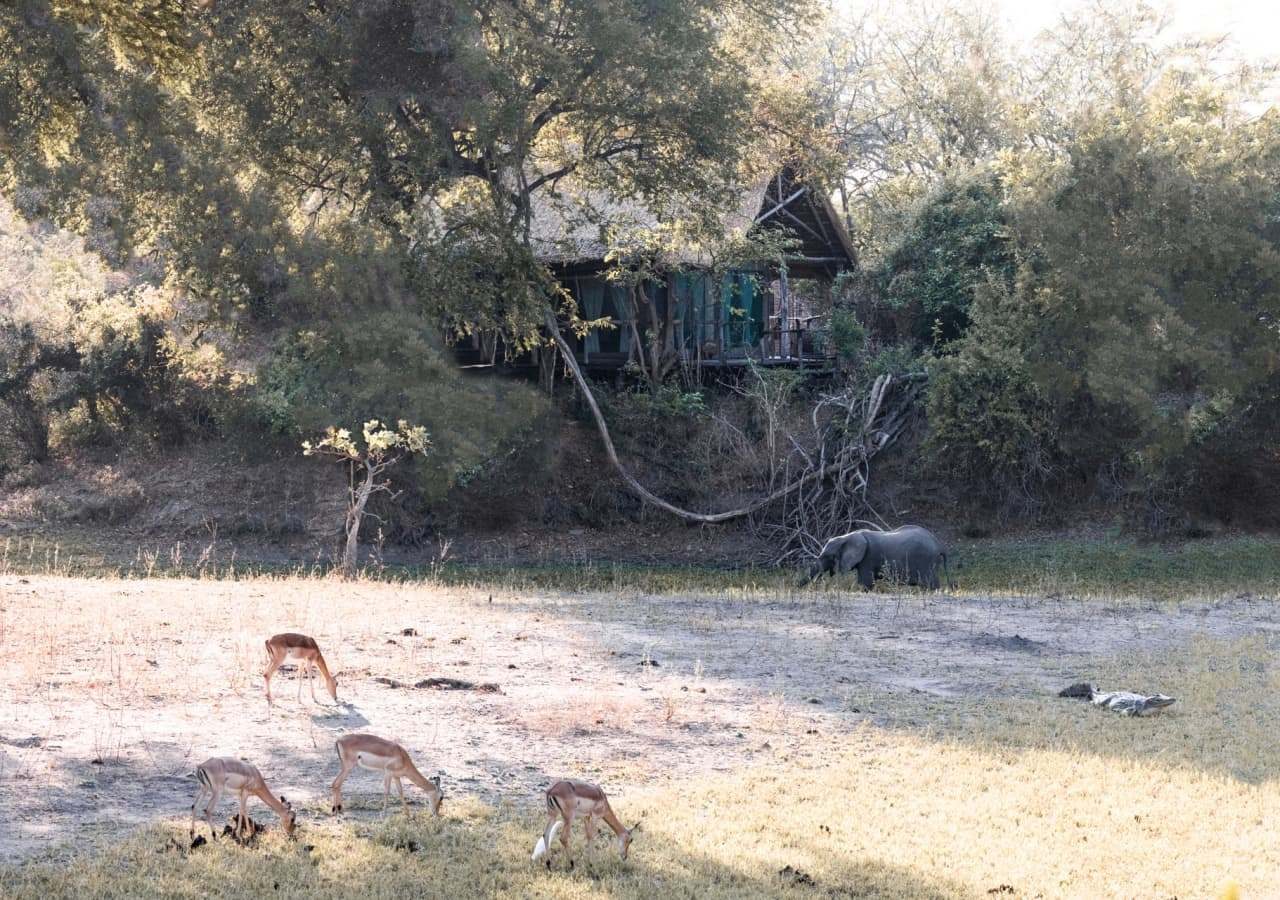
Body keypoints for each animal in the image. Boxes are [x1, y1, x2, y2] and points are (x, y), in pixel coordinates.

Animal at [798, 527, 952, 591]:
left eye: (828, 556)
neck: (847, 536)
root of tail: (939, 544)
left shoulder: (868, 557)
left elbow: (865, 582)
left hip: (926, 561)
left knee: (930, 584)